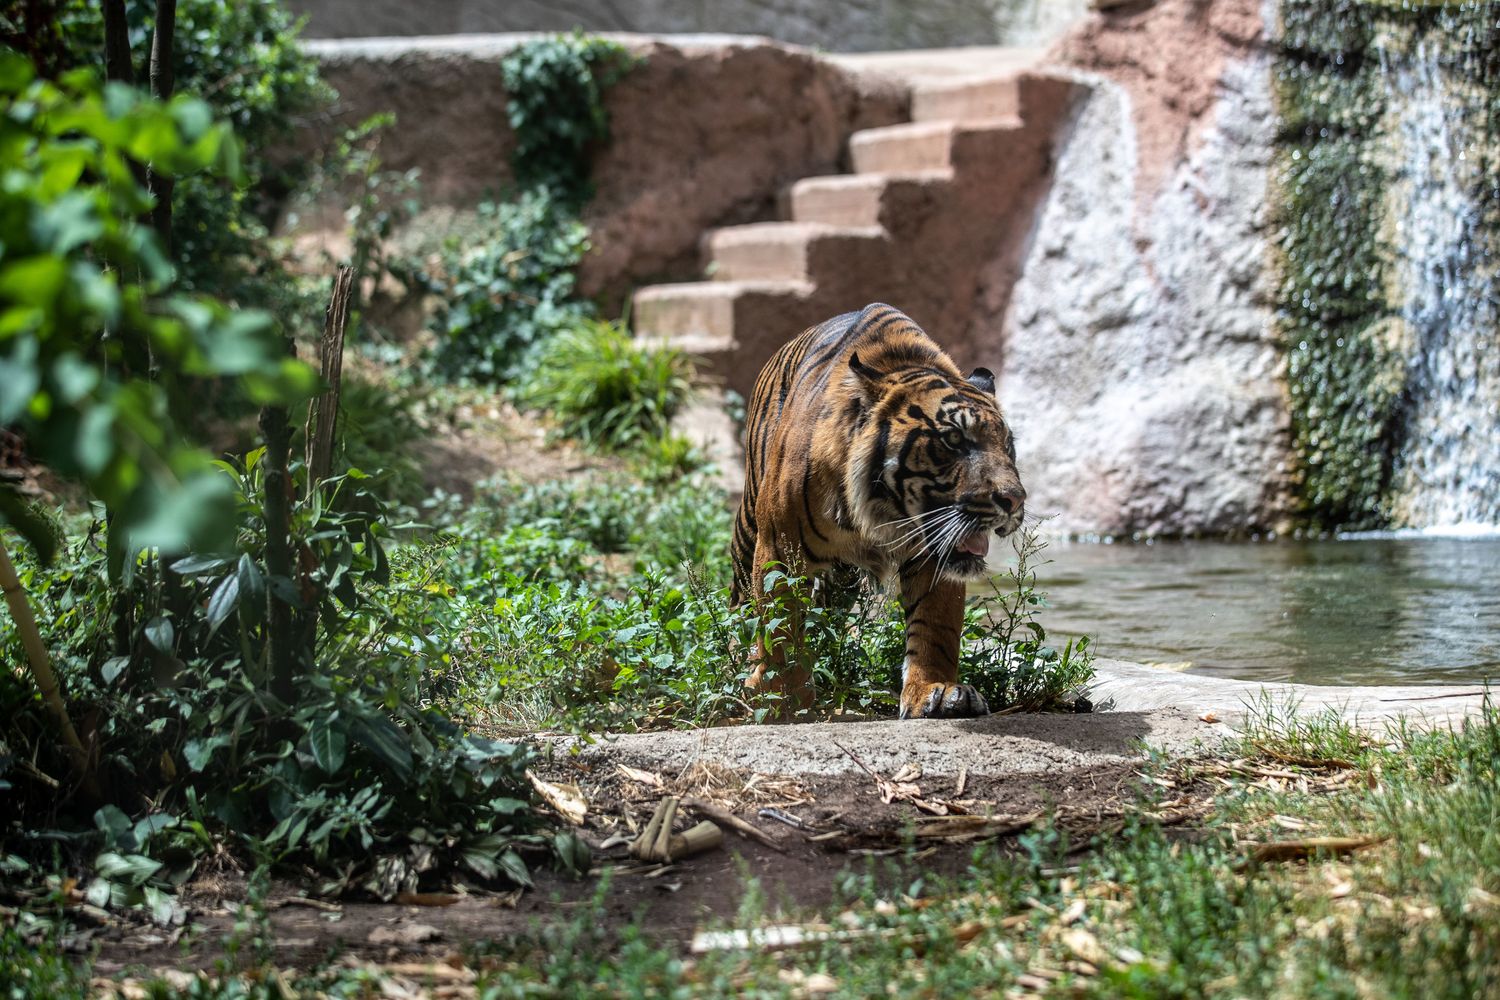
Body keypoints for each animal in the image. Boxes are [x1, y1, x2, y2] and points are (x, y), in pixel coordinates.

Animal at [730, 302, 1027, 720]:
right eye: (953, 439)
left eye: (1007, 445)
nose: (1015, 499)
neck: (882, 514)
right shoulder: (779, 549)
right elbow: (781, 625)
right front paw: (782, 698)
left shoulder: (938, 555)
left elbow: (937, 625)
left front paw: (936, 691)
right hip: (748, 525)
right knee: (740, 601)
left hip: (841, 582)